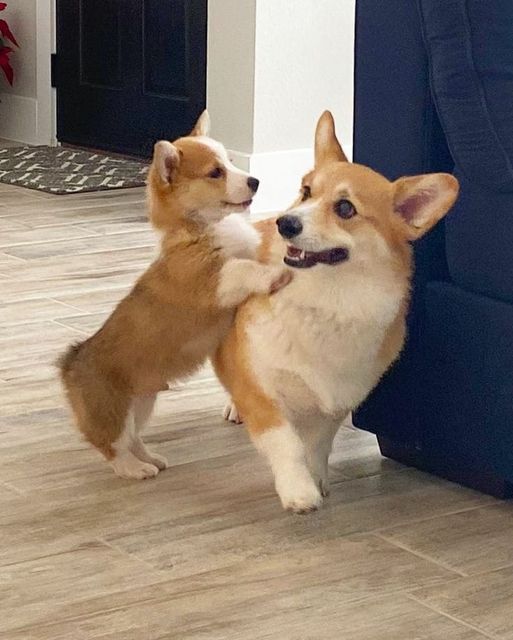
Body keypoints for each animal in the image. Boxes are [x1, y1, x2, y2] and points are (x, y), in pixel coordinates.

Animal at [58, 111, 290, 480]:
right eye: (215, 172)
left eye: (231, 161)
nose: (255, 181)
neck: (200, 228)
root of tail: (70, 362)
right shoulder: (214, 281)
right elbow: (242, 268)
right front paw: (274, 274)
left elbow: (256, 256)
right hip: (113, 409)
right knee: (112, 445)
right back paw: (136, 469)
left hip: (142, 403)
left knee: (134, 438)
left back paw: (151, 458)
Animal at [214, 109, 458, 510]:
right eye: (306, 191)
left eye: (345, 208)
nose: (285, 223)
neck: (326, 300)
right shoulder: (263, 390)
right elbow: (286, 442)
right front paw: (299, 491)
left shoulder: (336, 401)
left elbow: (316, 446)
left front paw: (316, 480)